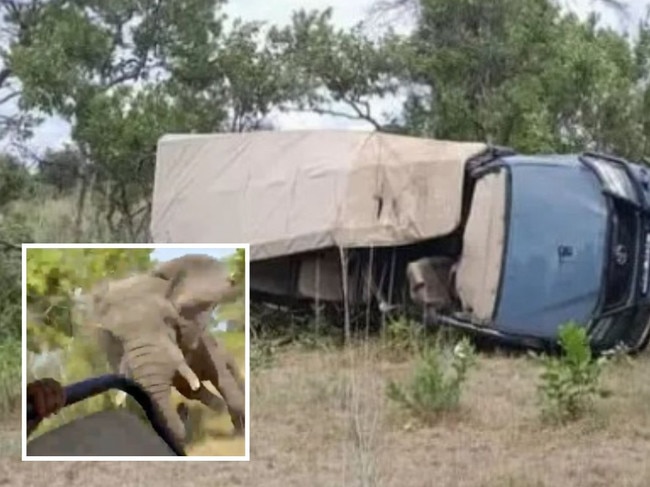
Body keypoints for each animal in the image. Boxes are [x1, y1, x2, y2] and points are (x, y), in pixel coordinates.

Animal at [86, 255, 246, 450]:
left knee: (231, 376)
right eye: (114, 336)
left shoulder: (199, 340)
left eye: (169, 320)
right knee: (192, 391)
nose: (182, 409)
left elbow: (221, 379)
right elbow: (194, 389)